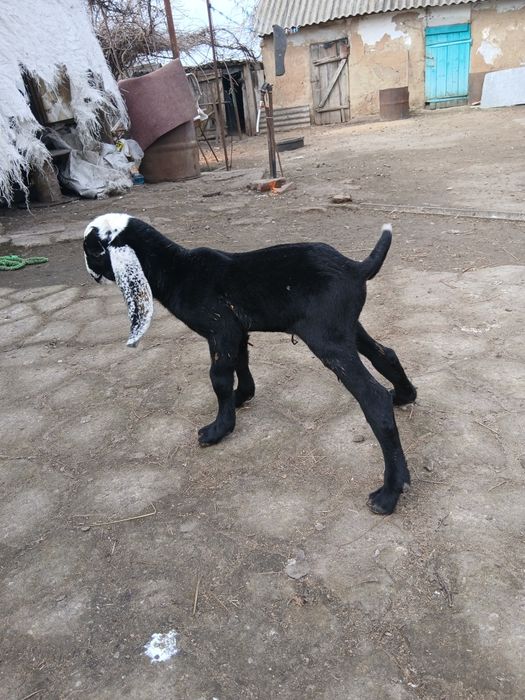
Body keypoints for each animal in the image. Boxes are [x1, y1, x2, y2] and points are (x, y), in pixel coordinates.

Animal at [83, 214, 417, 515]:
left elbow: (218, 378)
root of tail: (354, 267)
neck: (177, 268)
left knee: (374, 399)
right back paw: (404, 395)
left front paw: (218, 429)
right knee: (385, 353)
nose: (87, 269)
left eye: (92, 249)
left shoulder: (221, 330)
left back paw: (389, 493)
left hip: (327, 339)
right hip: (344, 327)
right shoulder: (237, 331)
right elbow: (239, 365)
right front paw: (241, 397)